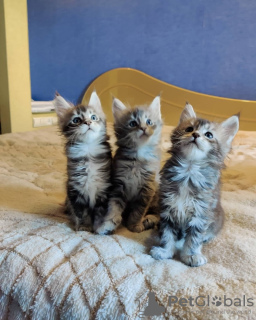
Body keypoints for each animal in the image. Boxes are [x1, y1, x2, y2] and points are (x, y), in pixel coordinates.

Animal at [54, 91, 111, 231]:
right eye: (76, 120)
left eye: (94, 117)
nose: (88, 122)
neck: (88, 150)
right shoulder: (75, 189)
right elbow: (80, 213)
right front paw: (82, 227)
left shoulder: (103, 188)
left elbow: (99, 212)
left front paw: (97, 228)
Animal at [95, 96, 163, 234]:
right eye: (133, 124)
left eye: (149, 122)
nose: (143, 128)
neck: (138, 158)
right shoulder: (118, 186)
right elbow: (113, 208)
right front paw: (107, 225)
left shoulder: (147, 189)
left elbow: (138, 211)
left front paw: (134, 226)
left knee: (157, 213)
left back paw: (149, 220)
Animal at [150, 104, 240, 266]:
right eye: (189, 129)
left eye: (209, 135)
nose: (196, 135)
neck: (189, 171)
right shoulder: (168, 208)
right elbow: (167, 234)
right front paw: (165, 251)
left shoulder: (201, 214)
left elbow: (194, 238)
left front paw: (191, 255)